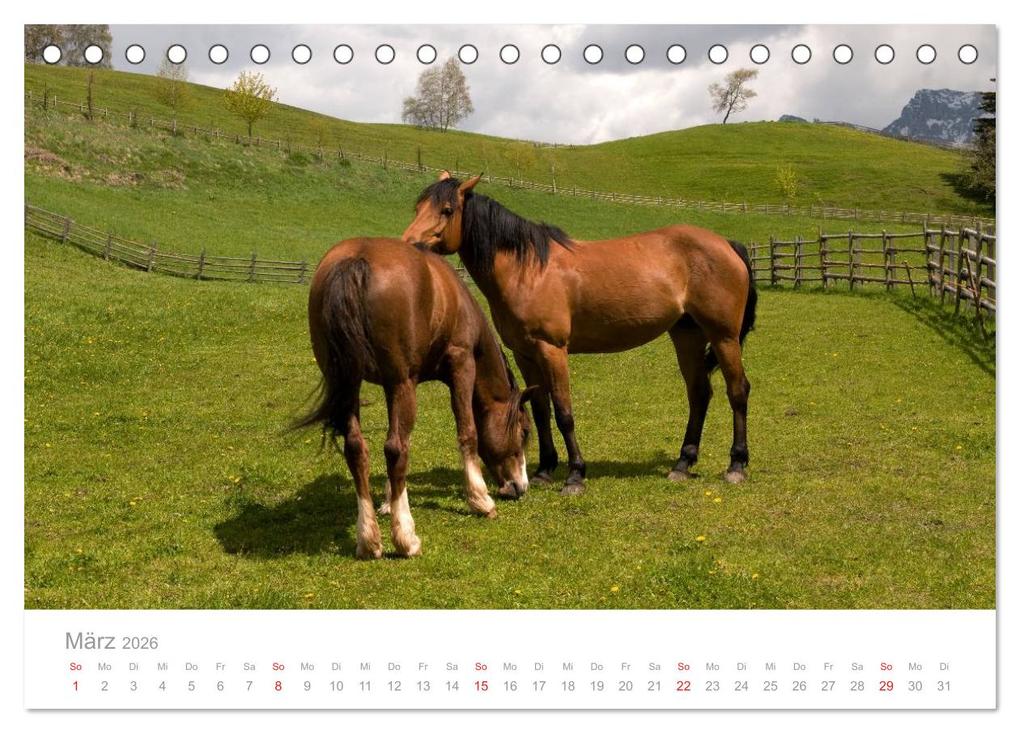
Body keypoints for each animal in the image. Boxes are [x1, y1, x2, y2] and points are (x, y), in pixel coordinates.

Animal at [296, 238, 537, 559]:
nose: (520, 486)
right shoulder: (461, 364)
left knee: (358, 448)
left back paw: (368, 540)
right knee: (396, 448)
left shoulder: (390, 386)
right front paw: (480, 500)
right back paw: (405, 538)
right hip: (401, 382)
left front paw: (388, 501)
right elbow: (468, 432)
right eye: (524, 432)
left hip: (352, 384)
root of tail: (356, 261)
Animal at [401, 171, 757, 495]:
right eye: (417, 207)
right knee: (699, 393)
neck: (528, 270)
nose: (409, 246)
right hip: (687, 335)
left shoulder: (553, 350)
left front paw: (575, 476)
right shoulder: (526, 354)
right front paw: (544, 470)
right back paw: (683, 464)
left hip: (723, 337)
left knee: (737, 390)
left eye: (447, 210)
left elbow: (563, 411)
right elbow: (540, 409)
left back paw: (736, 465)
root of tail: (727, 244)